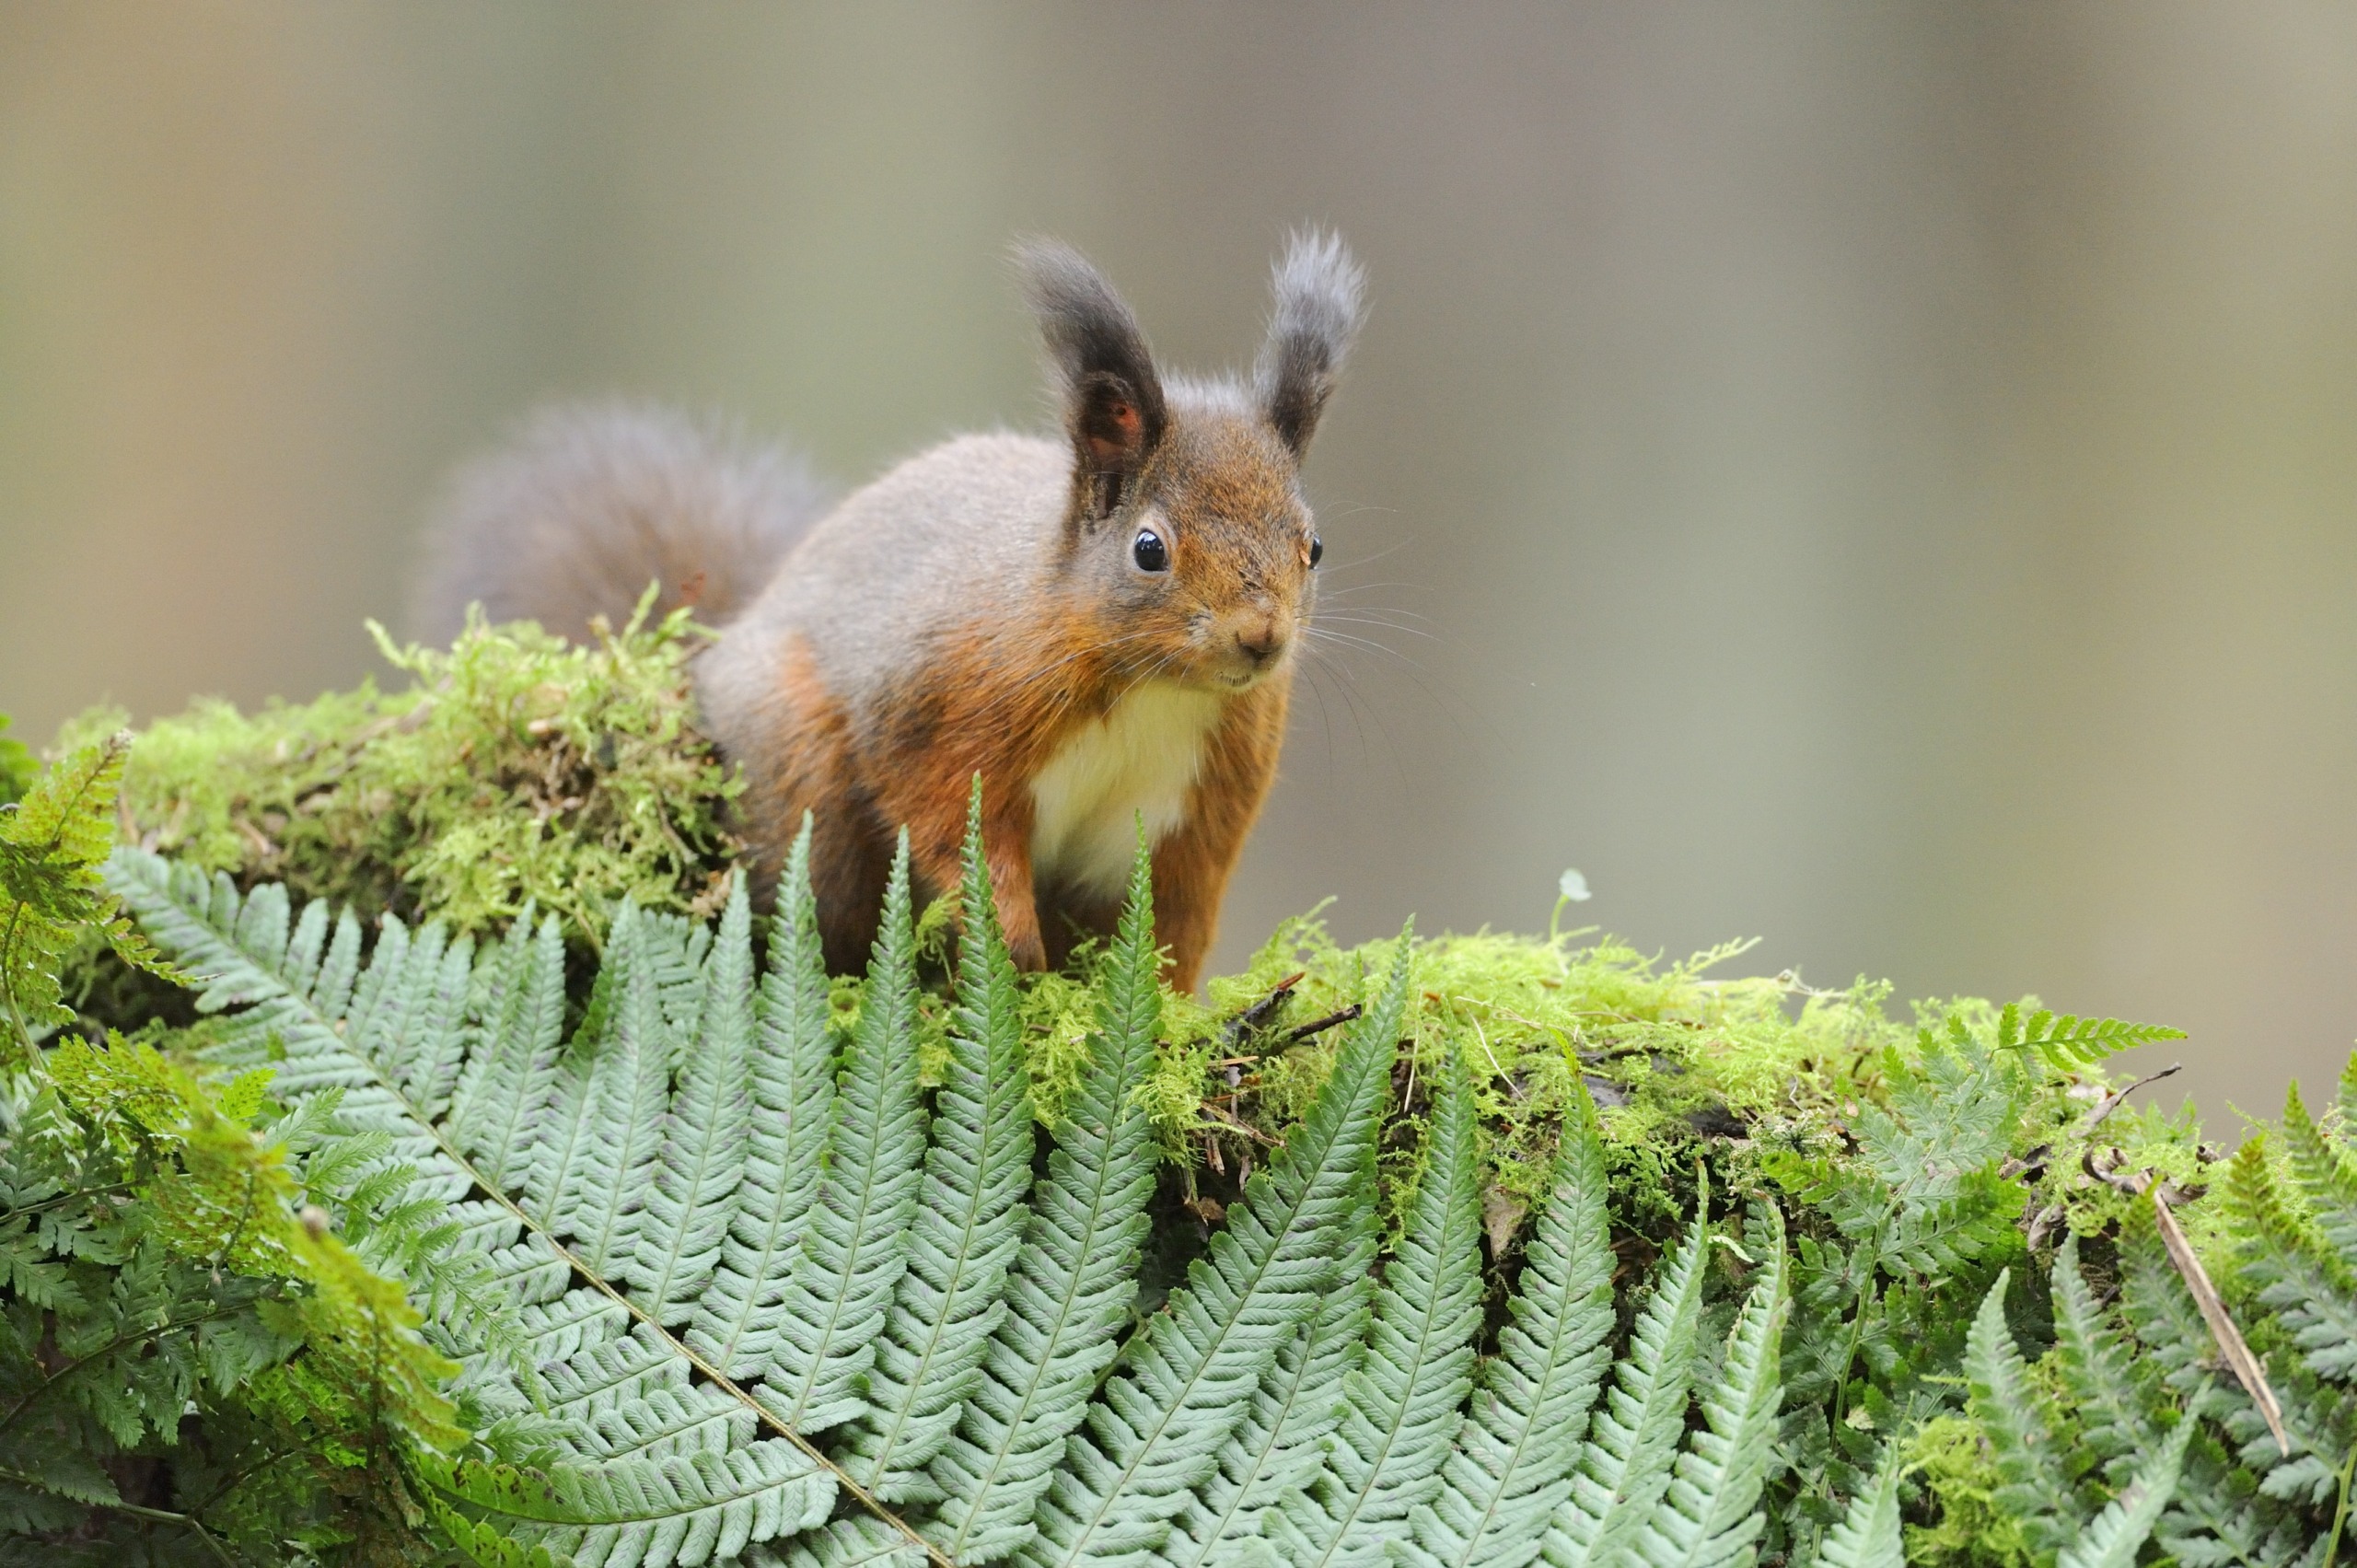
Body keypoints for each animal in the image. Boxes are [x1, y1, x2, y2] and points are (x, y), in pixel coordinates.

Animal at [414, 232, 1357, 990]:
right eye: (1150, 548)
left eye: (1313, 546)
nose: (1261, 637)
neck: (1152, 688)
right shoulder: (949, 708)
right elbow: (953, 833)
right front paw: (1014, 960)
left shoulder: (1195, 812)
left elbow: (1173, 919)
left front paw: (1163, 1015)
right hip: (803, 782)